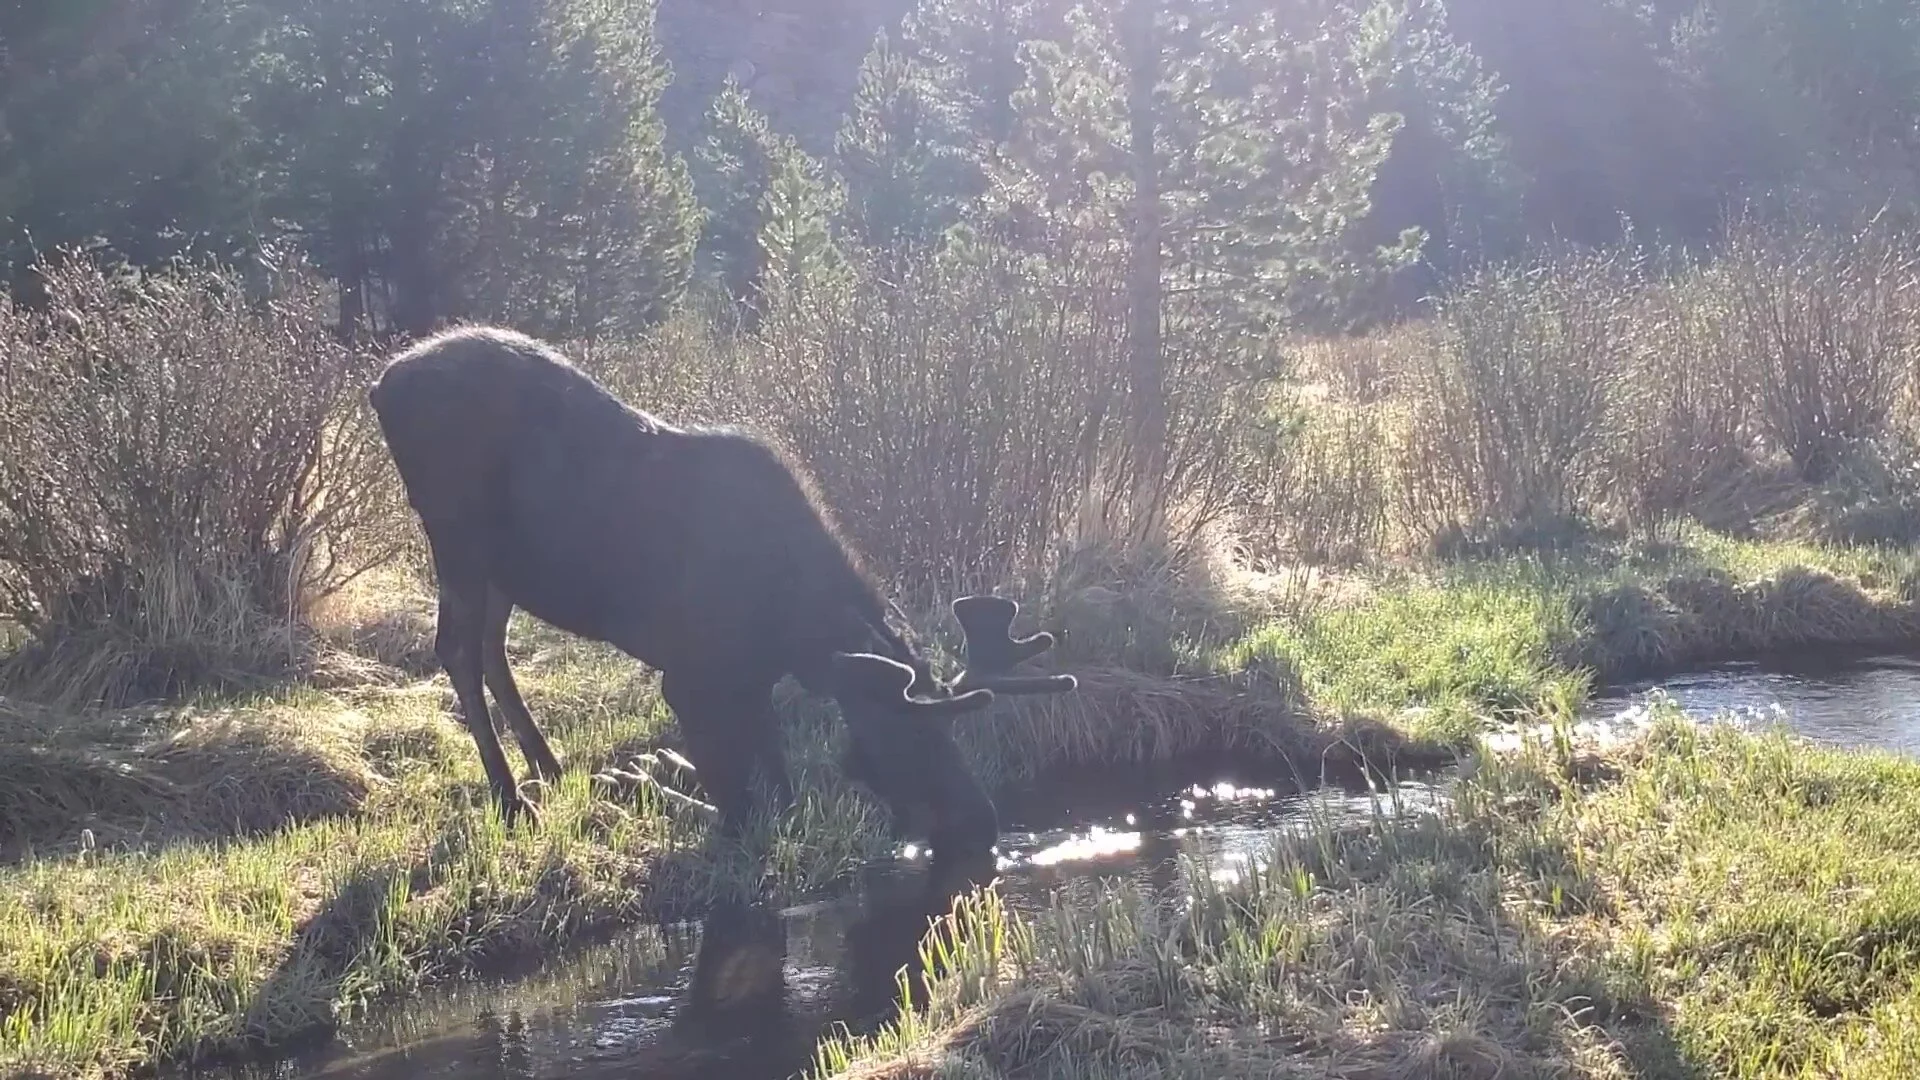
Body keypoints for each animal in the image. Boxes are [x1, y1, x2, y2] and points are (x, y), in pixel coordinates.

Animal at [367, 324, 1077, 862]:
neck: (793, 625)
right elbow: (742, 802)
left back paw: (549, 767)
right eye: (911, 734)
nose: (983, 823)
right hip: (457, 538)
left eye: (952, 727)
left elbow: (777, 782)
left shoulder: (752, 678)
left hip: (502, 569)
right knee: (456, 648)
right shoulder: (688, 677)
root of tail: (382, 383)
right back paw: (513, 798)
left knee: (491, 647)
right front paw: (656, 787)